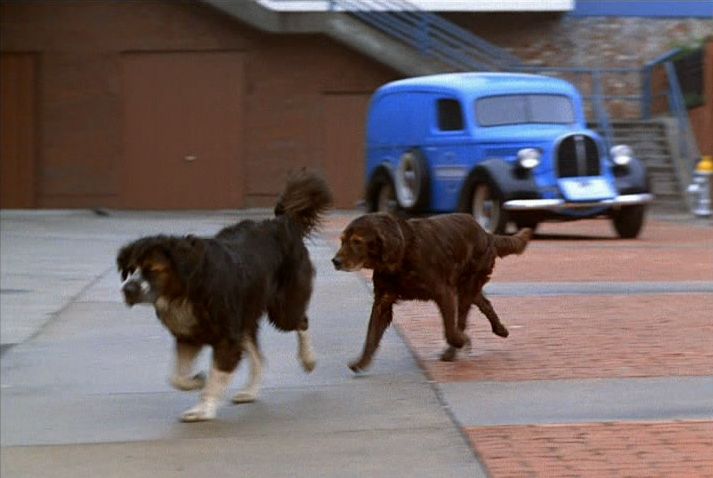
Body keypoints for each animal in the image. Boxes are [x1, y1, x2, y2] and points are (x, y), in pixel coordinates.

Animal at [118, 170, 332, 420]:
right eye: (130, 269)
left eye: (153, 269)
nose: (128, 290)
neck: (186, 289)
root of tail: (281, 223)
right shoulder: (189, 336)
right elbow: (177, 378)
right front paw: (196, 381)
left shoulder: (227, 337)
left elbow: (217, 374)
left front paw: (202, 409)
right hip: (245, 316)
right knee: (259, 357)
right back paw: (250, 392)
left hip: (282, 310)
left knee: (301, 322)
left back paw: (308, 359)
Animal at [332, 213, 528, 374]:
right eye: (342, 240)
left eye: (357, 242)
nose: (335, 261)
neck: (402, 253)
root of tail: (487, 234)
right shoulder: (383, 300)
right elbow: (371, 336)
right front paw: (361, 362)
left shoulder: (444, 293)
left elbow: (450, 330)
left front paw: (460, 341)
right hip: (466, 287)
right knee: (483, 303)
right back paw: (500, 329)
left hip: (467, 286)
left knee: (462, 320)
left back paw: (454, 349)